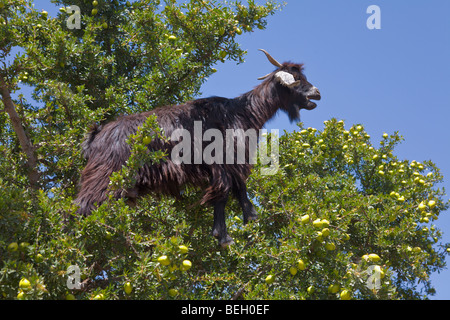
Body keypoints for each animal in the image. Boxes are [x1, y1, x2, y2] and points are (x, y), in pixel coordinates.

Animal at [74, 48, 320, 246]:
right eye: (297, 79)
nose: (316, 93)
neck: (241, 112)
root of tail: (97, 135)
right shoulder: (222, 162)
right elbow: (223, 193)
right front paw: (224, 238)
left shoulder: (232, 162)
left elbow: (239, 189)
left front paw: (250, 219)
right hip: (107, 172)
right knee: (83, 204)